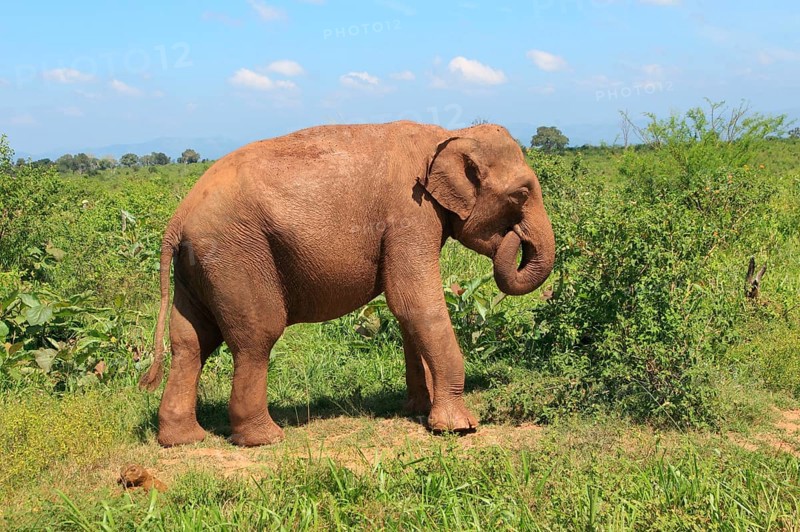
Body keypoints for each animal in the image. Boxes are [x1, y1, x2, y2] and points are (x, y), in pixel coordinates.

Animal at [139, 120, 555, 447]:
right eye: (521, 193)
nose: (516, 237)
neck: (447, 136)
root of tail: (178, 218)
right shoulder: (409, 214)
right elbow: (414, 302)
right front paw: (459, 428)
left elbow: (404, 309)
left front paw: (418, 409)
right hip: (236, 255)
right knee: (255, 337)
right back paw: (265, 439)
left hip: (199, 266)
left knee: (191, 341)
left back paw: (183, 440)